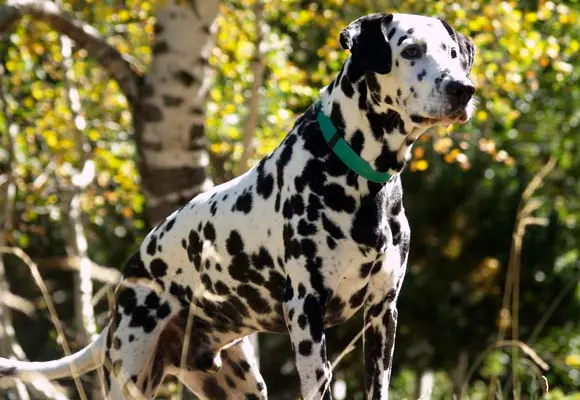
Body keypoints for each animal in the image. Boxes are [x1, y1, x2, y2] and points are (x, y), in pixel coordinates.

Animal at [0, 12, 476, 400]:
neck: (361, 175)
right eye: (411, 49)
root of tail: (126, 284)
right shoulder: (305, 311)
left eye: (453, 54)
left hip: (242, 384)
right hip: (129, 376)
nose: (464, 89)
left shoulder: (383, 314)